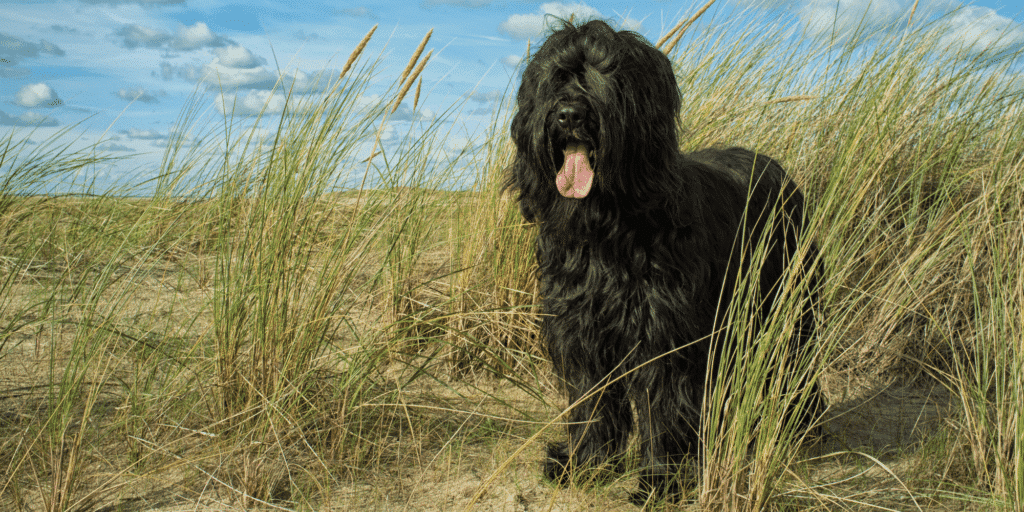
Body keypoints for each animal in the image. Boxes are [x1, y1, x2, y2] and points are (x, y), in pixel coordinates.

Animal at [503, 18, 823, 499]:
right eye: (558, 77)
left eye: (609, 75)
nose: (570, 115)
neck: (608, 229)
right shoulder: (582, 331)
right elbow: (592, 399)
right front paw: (585, 463)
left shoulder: (663, 332)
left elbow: (663, 404)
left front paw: (660, 479)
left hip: (787, 301)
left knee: (794, 361)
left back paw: (799, 426)